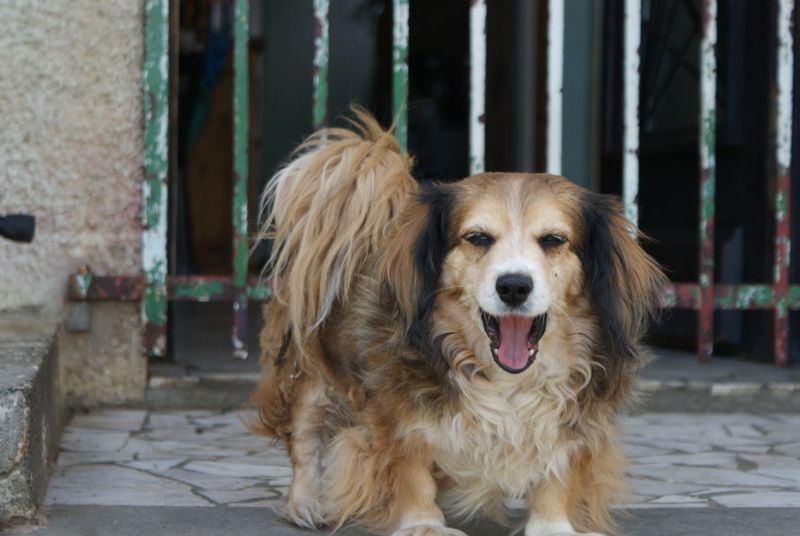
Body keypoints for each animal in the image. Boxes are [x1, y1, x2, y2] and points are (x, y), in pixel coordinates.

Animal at [253, 110, 664, 536]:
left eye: (553, 240)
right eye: (478, 237)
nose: (513, 286)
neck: (505, 380)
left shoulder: (573, 417)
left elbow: (558, 473)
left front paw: (553, 524)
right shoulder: (395, 413)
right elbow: (410, 468)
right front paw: (423, 524)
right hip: (306, 371)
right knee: (304, 437)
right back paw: (305, 503)